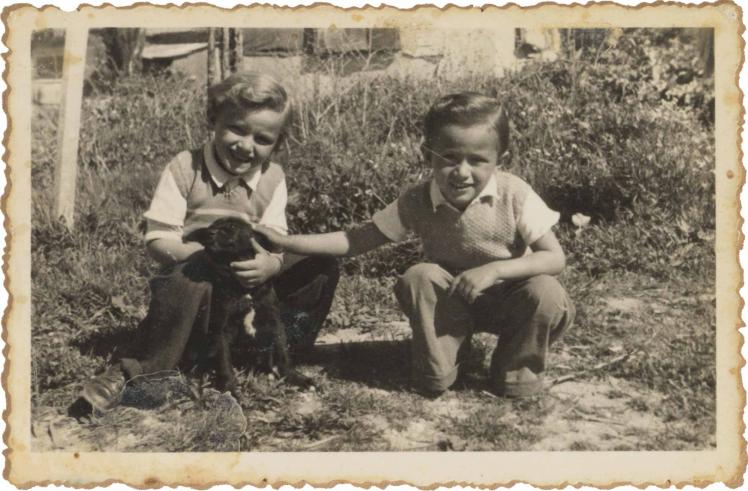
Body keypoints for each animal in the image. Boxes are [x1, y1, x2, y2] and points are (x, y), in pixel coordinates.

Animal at [190, 218, 316, 400]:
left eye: (232, 227)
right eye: (211, 226)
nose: (209, 233)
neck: (244, 286)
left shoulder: (275, 324)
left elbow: (283, 354)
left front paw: (295, 378)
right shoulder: (221, 330)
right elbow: (224, 362)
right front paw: (230, 389)